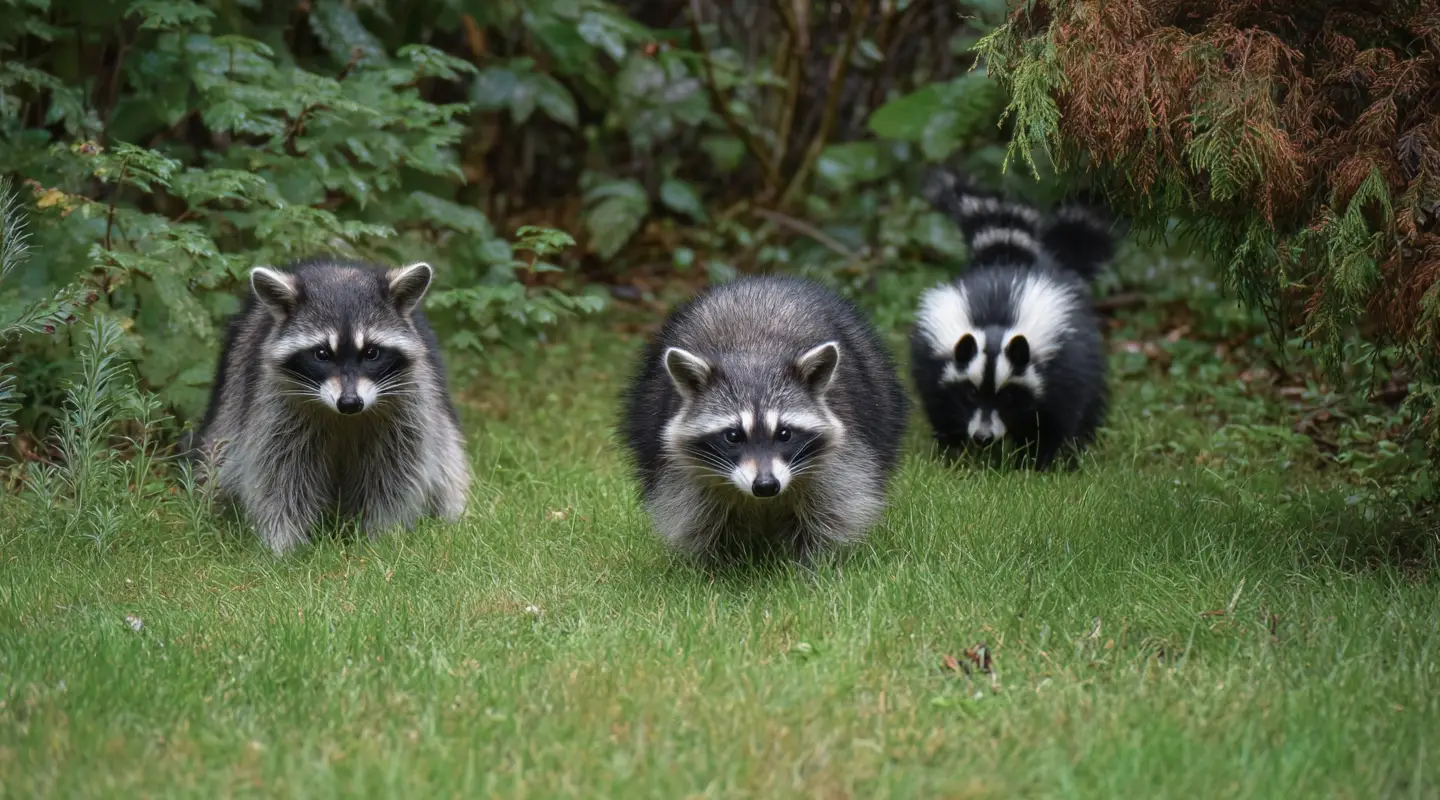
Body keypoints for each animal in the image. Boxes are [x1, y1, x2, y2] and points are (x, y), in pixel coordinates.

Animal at [193, 257, 471, 554]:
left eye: (372, 353)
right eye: (322, 354)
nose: (349, 403)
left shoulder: (408, 406)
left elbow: (393, 475)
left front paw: (380, 537)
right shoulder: (274, 405)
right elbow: (280, 474)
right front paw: (284, 544)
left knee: (448, 466)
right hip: (231, 403)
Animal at [621, 275, 909, 563]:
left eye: (784, 433)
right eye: (733, 436)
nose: (766, 485)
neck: (754, 352)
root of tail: (765, 280)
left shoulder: (844, 455)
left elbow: (832, 510)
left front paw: (811, 564)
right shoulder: (680, 470)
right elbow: (697, 517)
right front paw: (718, 565)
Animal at [910, 168, 1115, 471]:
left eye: (1007, 396)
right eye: (971, 393)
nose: (983, 437)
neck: (997, 328)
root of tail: (1009, 257)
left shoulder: (1061, 368)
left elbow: (1054, 419)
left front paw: (1037, 464)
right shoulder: (935, 363)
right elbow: (942, 406)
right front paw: (954, 455)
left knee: (1090, 400)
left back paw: (1079, 446)